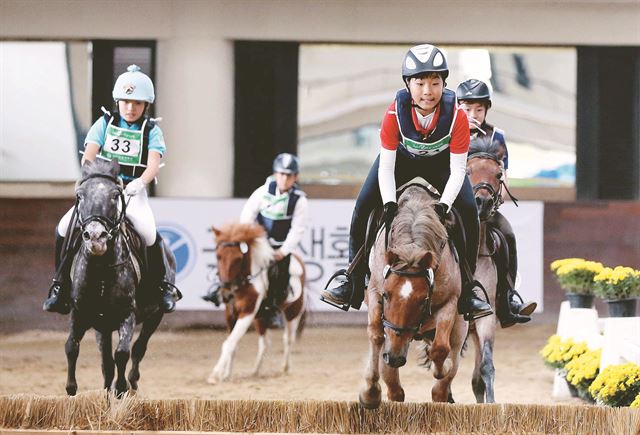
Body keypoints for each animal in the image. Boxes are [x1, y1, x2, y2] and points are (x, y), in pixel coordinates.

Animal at [205, 223, 304, 384]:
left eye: (238, 259)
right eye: (218, 256)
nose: (226, 292)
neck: (243, 284)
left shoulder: (247, 312)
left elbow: (229, 343)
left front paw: (216, 374)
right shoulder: (230, 315)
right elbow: (233, 344)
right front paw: (226, 375)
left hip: (294, 312)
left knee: (288, 339)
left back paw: (285, 368)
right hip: (261, 318)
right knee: (264, 344)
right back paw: (255, 371)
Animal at [360, 181, 470, 408]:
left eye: (423, 301)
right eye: (386, 295)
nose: (394, 358)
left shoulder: (449, 303)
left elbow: (440, 349)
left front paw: (443, 366)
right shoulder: (375, 293)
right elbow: (376, 335)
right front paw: (370, 393)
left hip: (459, 327)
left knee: (441, 385)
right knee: (395, 388)